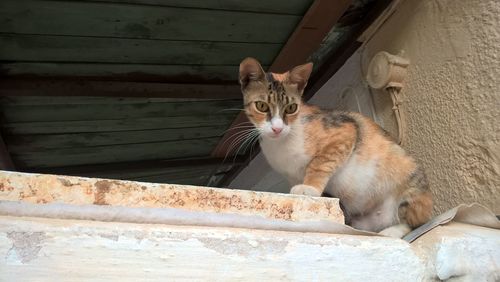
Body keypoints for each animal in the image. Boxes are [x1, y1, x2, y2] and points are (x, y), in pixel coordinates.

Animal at [239, 56, 434, 236]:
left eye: (292, 108)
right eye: (261, 106)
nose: (277, 128)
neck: (281, 143)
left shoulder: (345, 130)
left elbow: (320, 163)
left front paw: (309, 188)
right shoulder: (291, 174)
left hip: (410, 183)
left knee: (413, 222)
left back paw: (390, 232)